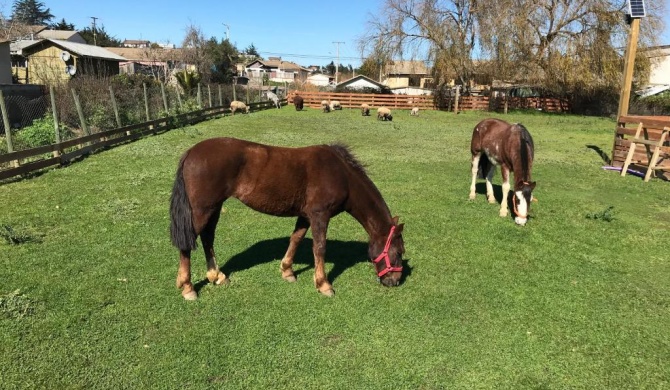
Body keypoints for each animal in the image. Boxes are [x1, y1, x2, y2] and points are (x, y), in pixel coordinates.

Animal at [171, 138, 406, 302]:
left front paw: (287, 271)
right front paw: (323, 285)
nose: (394, 282)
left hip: (214, 208)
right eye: (398, 253)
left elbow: (296, 239)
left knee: (208, 237)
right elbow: (319, 247)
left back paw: (217, 276)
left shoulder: (305, 215)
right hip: (202, 211)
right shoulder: (319, 215)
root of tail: (191, 152)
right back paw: (188, 288)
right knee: (188, 245)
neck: (341, 174)